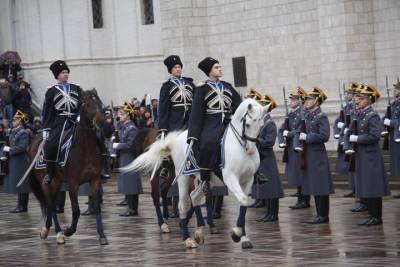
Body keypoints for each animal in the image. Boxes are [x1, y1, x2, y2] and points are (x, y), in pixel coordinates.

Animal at [28, 89, 108, 246]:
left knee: (51, 205)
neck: (85, 148)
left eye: (100, 102)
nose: (101, 121)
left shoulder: (95, 180)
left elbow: (97, 208)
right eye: (87, 103)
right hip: (45, 182)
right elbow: (76, 211)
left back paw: (47, 230)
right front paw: (69, 231)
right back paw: (58, 233)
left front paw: (102, 236)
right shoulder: (73, 184)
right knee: (51, 205)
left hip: (57, 182)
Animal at [122, 99, 266, 250]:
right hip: (178, 177)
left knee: (189, 196)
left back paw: (193, 230)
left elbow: (243, 202)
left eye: (261, 126)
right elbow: (243, 199)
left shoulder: (248, 179)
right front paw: (236, 234)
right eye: (248, 124)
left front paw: (242, 236)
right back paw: (180, 234)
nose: (250, 149)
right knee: (171, 200)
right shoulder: (230, 178)